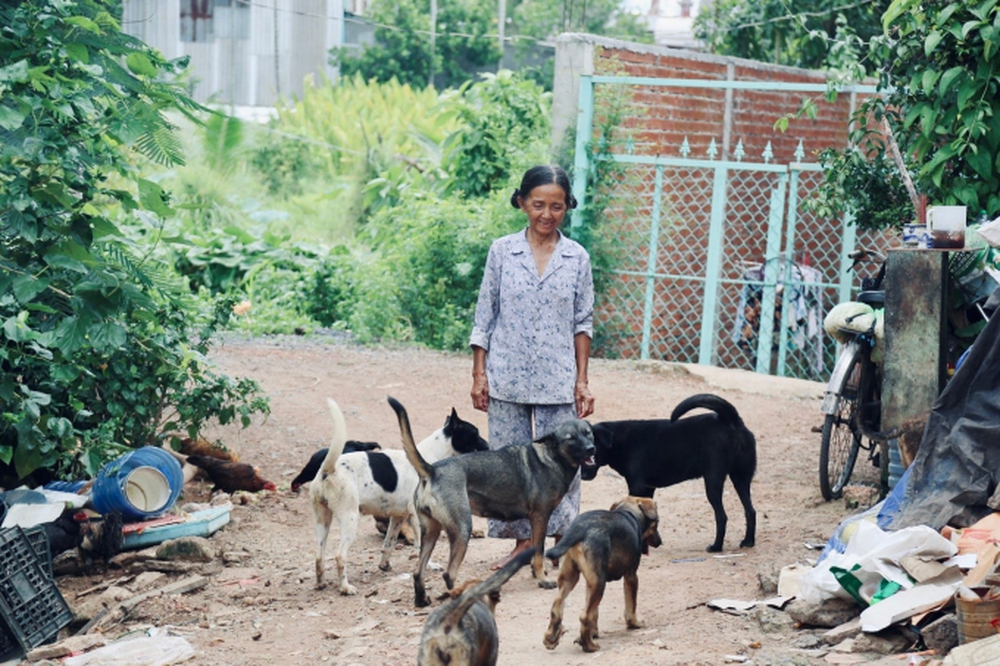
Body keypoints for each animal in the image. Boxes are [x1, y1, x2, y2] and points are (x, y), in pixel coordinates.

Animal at [308, 396, 488, 592]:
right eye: (475, 433)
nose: (488, 445)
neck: (428, 457)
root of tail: (328, 470)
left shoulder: (398, 517)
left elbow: (389, 543)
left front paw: (384, 565)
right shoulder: (417, 517)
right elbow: (422, 546)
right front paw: (430, 564)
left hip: (323, 521)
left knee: (319, 556)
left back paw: (320, 583)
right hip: (349, 519)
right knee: (340, 556)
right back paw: (346, 588)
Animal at [544, 496, 660, 652]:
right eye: (657, 523)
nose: (660, 541)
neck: (629, 512)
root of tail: (579, 528)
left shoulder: (590, 583)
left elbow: (594, 612)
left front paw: (592, 633)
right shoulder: (631, 576)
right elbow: (631, 605)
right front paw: (635, 623)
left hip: (572, 579)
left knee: (557, 607)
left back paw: (551, 638)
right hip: (599, 583)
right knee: (584, 616)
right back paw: (589, 645)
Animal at [584, 392, 752, 552]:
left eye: (591, 450)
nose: (582, 476)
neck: (620, 441)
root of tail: (731, 418)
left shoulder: (637, 486)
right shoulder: (648, 488)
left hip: (713, 481)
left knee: (722, 516)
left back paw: (716, 546)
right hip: (741, 478)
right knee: (750, 511)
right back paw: (748, 541)